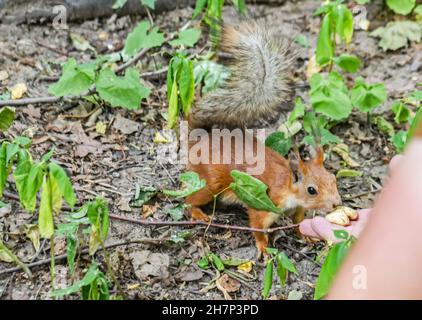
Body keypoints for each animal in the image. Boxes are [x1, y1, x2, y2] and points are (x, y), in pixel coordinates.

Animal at [185, 21, 342, 258]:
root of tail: (201, 140)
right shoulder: (264, 205)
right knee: (189, 200)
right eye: (311, 190)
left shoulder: (297, 209)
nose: (336, 204)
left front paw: (305, 236)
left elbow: (298, 223)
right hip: (211, 183)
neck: (288, 186)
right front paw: (264, 248)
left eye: (333, 179)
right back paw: (198, 213)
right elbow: (257, 227)